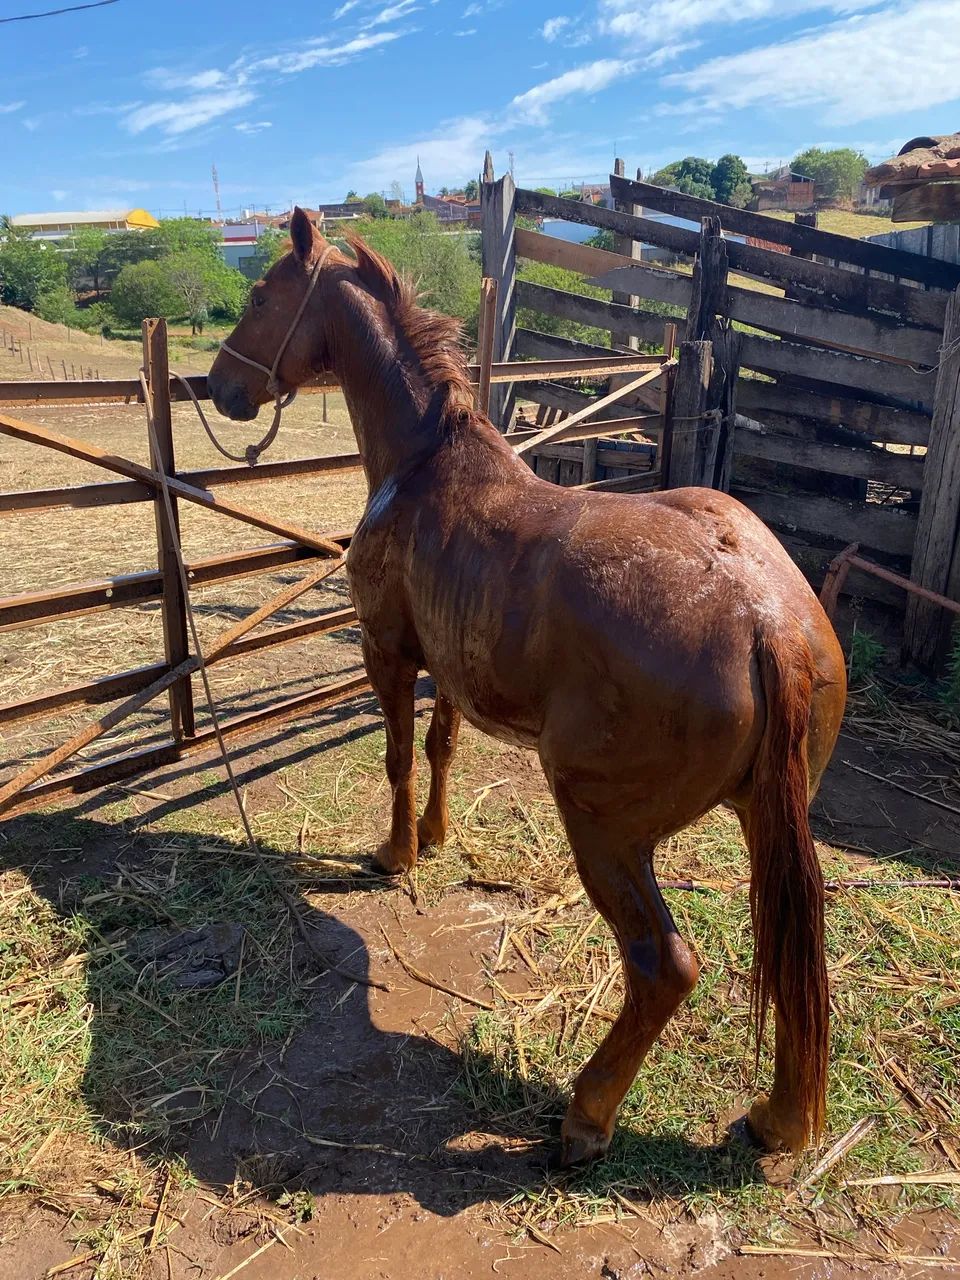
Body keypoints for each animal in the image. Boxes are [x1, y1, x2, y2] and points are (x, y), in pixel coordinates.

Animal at [208, 208, 847, 1166]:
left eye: (259, 296)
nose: (219, 387)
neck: (426, 464)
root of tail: (762, 618)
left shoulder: (387, 653)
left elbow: (398, 759)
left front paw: (394, 853)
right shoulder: (449, 671)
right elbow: (441, 749)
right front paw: (435, 838)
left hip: (606, 829)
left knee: (664, 967)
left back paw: (586, 1116)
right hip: (771, 819)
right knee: (787, 951)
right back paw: (778, 1122)